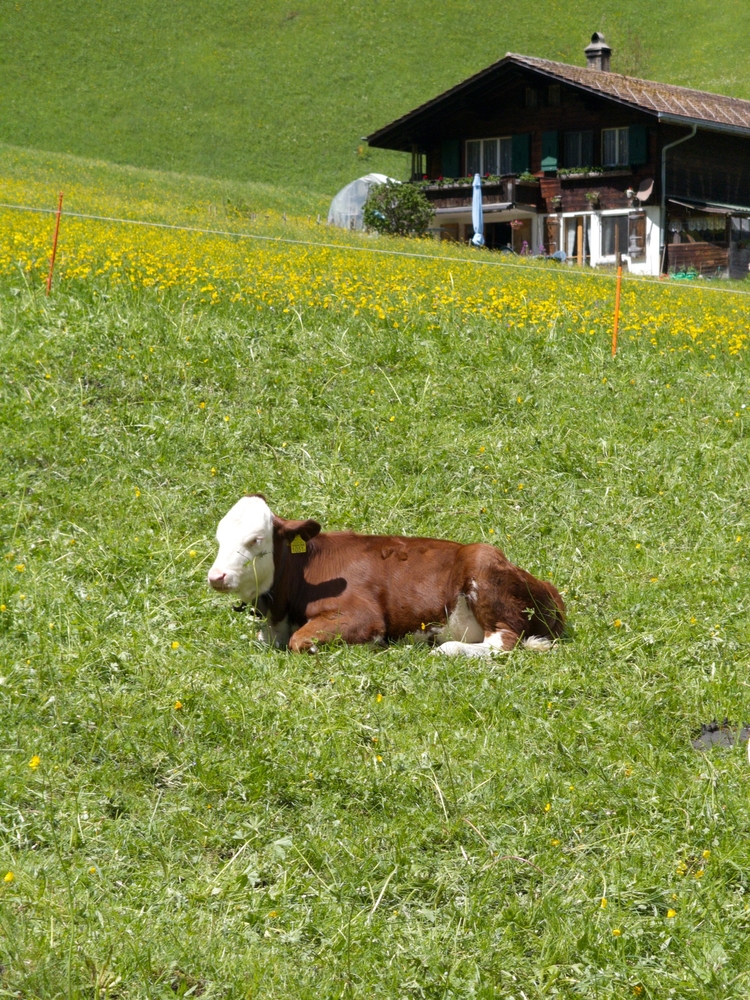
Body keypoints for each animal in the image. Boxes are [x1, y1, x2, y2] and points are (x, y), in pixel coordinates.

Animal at [207, 495, 565, 656]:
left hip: (483, 566)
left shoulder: (362, 615)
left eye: (255, 540)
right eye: (219, 537)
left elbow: (301, 641)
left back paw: (447, 649)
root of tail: (547, 587)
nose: (216, 576)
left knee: (503, 642)